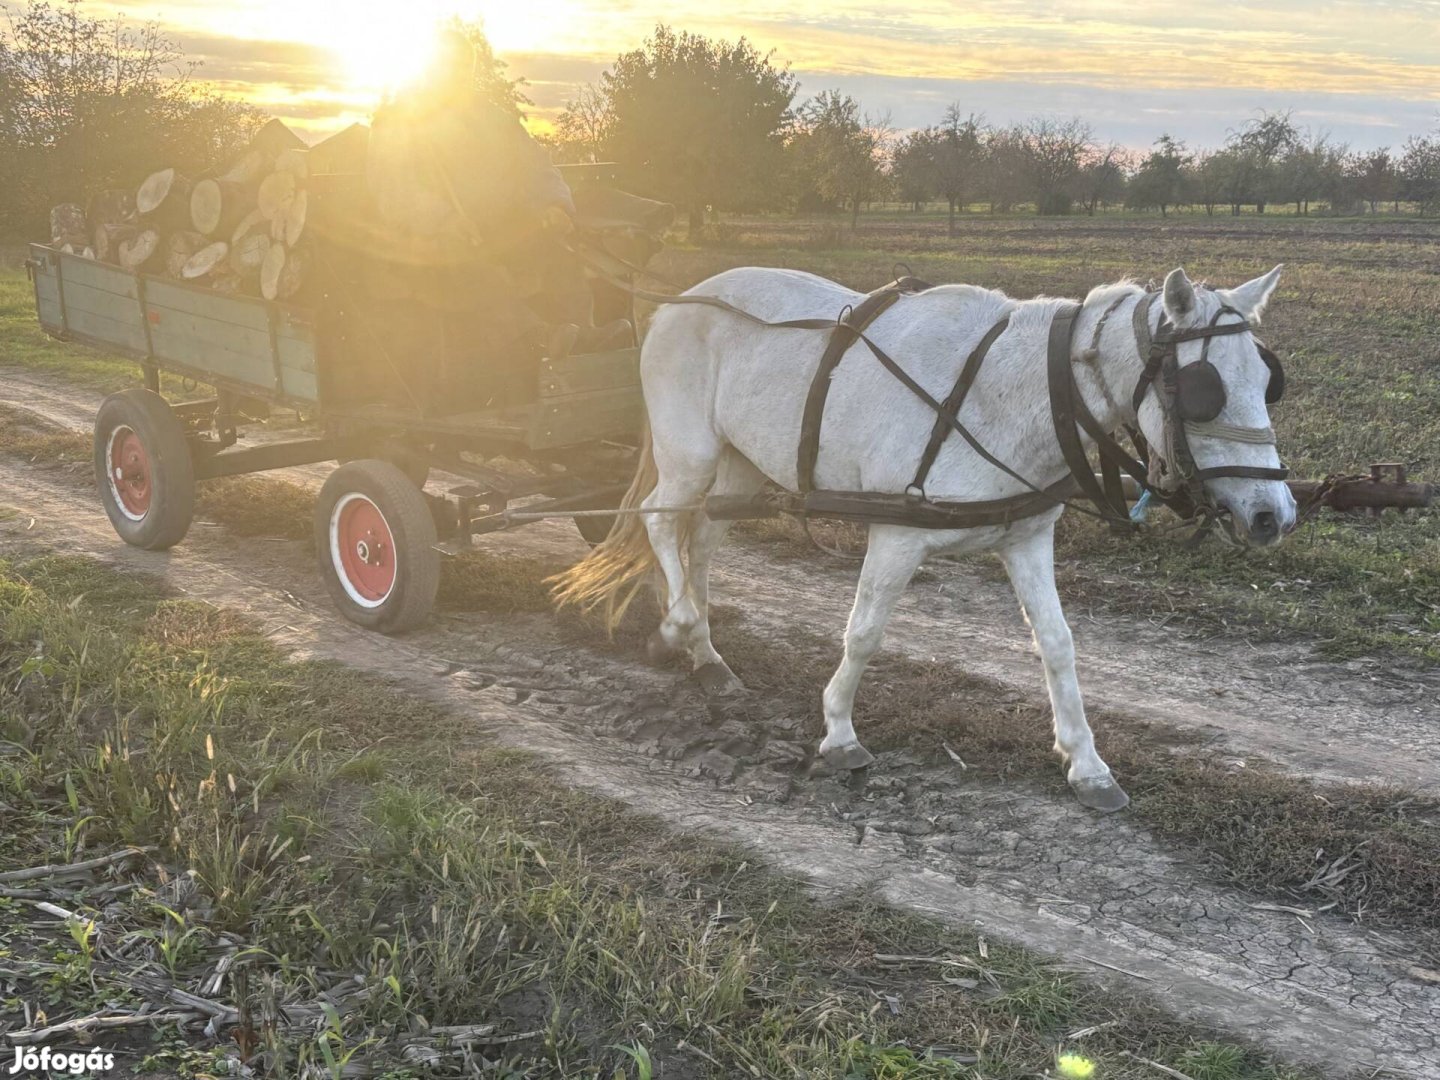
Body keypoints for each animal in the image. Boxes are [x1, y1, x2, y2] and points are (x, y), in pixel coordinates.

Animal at [552, 269, 1296, 812]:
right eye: (1204, 389)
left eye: (1269, 381)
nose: (1275, 515)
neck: (1007, 395)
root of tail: (679, 299)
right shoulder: (896, 536)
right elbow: (864, 632)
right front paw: (840, 731)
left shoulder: (1027, 540)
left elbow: (1057, 646)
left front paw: (1085, 762)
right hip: (689, 450)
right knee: (660, 519)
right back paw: (678, 624)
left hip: (739, 463)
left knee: (700, 539)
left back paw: (704, 652)